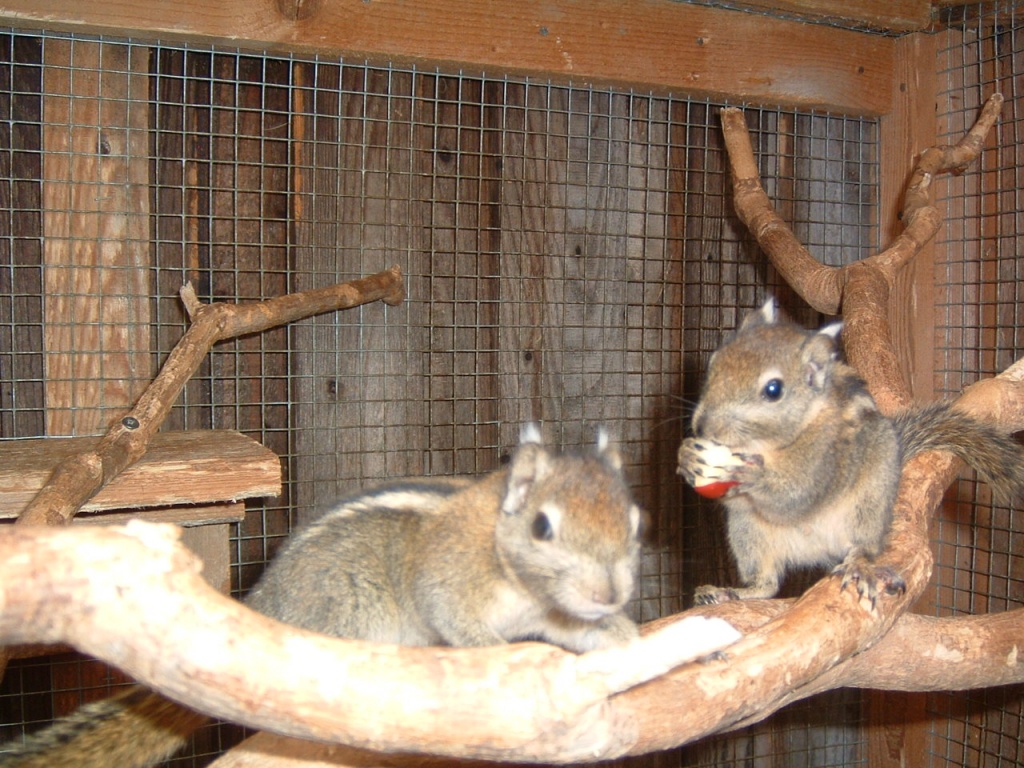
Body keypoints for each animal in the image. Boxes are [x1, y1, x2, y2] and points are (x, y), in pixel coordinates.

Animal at [2, 428, 638, 768]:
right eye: (542, 527)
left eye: (634, 520)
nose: (610, 594)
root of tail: (266, 610)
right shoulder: (449, 579)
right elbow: (454, 618)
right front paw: (493, 654)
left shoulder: (556, 611)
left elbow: (575, 631)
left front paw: (624, 635)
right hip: (349, 611)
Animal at [679, 301, 1024, 606]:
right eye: (713, 362)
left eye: (774, 389)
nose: (705, 426)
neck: (771, 444)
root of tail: (816, 550)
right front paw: (687, 456)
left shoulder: (826, 459)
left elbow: (794, 495)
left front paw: (749, 473)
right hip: (747, 531)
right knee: (766, 584)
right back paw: (726, 593)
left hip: (867, 509)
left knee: (861, 548)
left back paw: (859, 565)